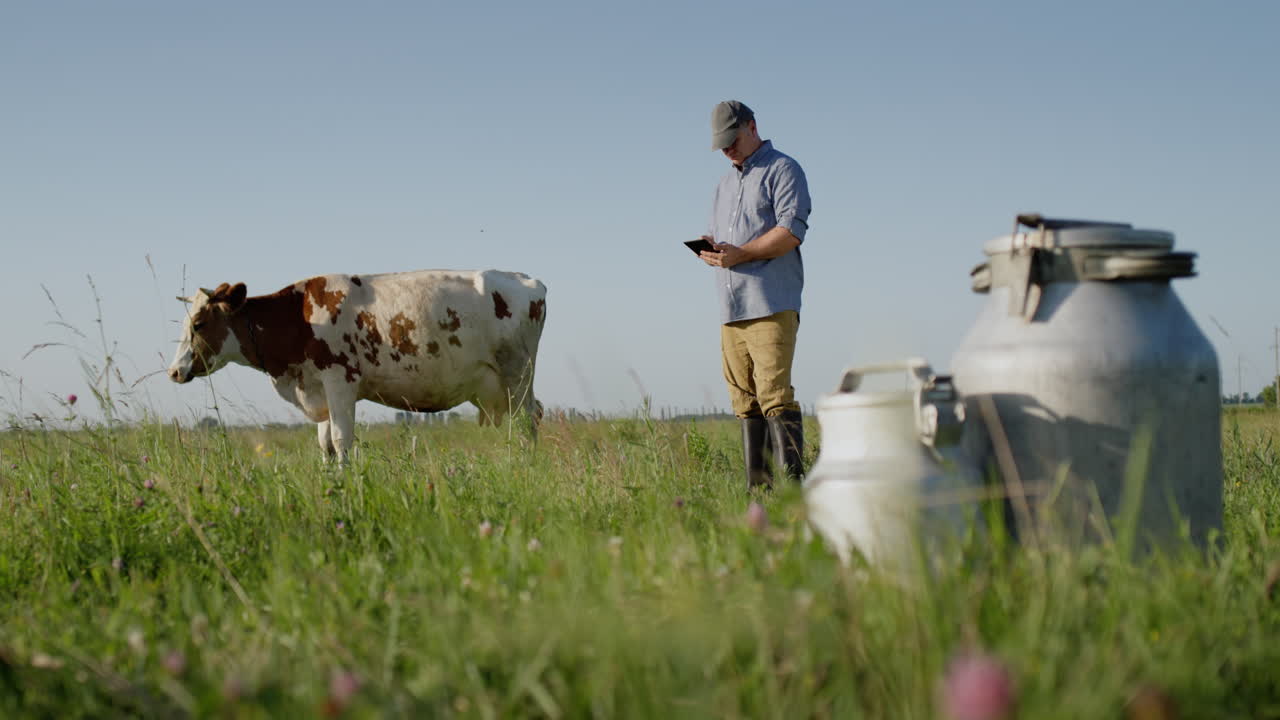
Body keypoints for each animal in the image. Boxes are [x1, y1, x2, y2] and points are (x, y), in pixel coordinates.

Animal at [168, 269, 548, 462]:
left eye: (199, 323)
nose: (174, 371)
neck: (298, 317)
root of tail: (527, 280)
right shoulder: (319, 388)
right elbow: (325, 443)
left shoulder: (339, 380)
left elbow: (341, 439)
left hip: (518, 374)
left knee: (527, 423)